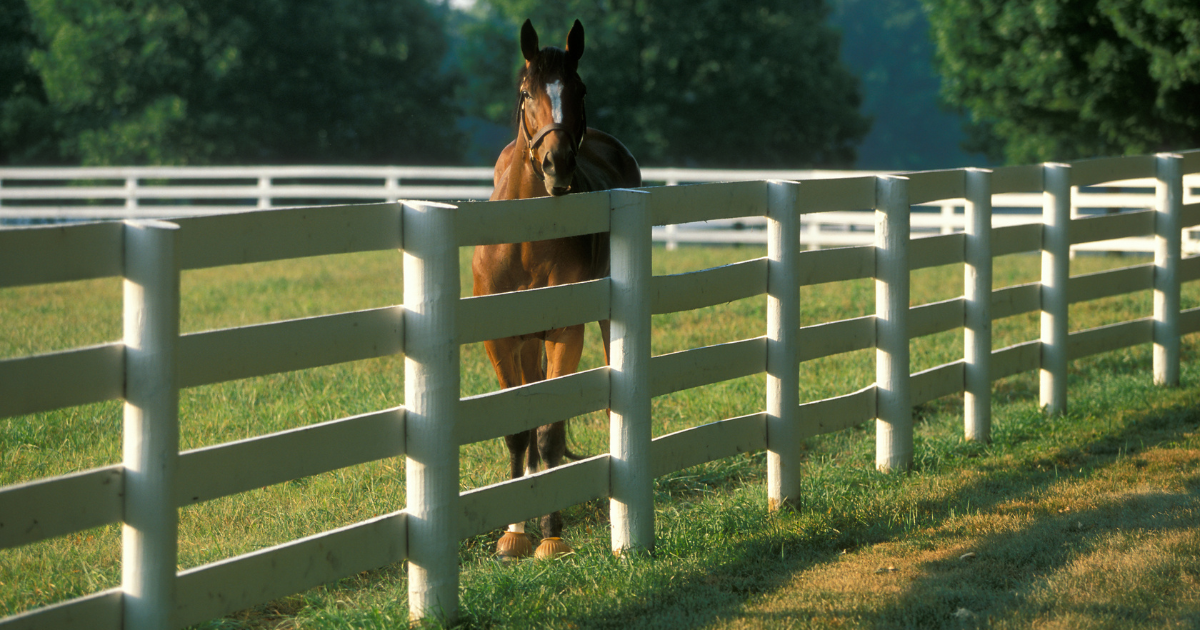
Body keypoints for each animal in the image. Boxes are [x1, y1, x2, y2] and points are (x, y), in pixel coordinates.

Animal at [472, 18, 641, 560]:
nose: (557, 164)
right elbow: (519, 431)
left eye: (579, 89)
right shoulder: (501, 340)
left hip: (602, 323)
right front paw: (514, 533)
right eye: (527, 93)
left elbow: (548, 432)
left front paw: (551, 535)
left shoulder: (565, 332)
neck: (527, 240)